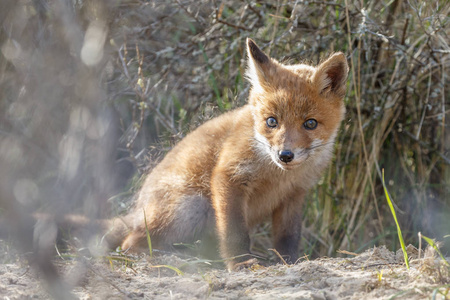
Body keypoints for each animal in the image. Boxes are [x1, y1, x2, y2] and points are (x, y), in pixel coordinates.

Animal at [69, 38, 348, 270]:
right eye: (272, 121)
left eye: (310, 124)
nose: (285, 155)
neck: (278, 176)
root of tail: (140, 206)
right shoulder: (228, 177)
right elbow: (235, 232)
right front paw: (240, 263)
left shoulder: (294, 195)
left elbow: (288, 237)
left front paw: (289, 262)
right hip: (190, 207)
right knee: (130, 243)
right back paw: (172, 259)